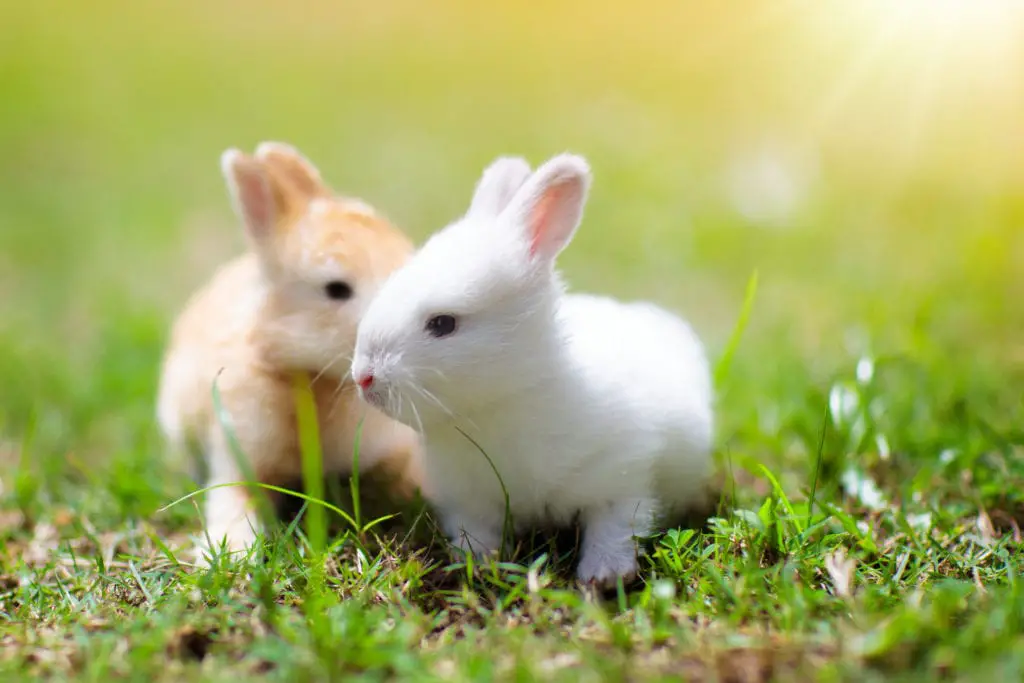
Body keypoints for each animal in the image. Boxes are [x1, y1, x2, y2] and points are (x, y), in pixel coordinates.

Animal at [349, 152, 714, 587]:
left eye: (443, 324)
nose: (363, 376)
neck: (505, 403)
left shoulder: (624, 474)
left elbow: (614, 525)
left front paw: (604, 575)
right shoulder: (469, 500)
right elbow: (477, 530)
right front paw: (476, 562)